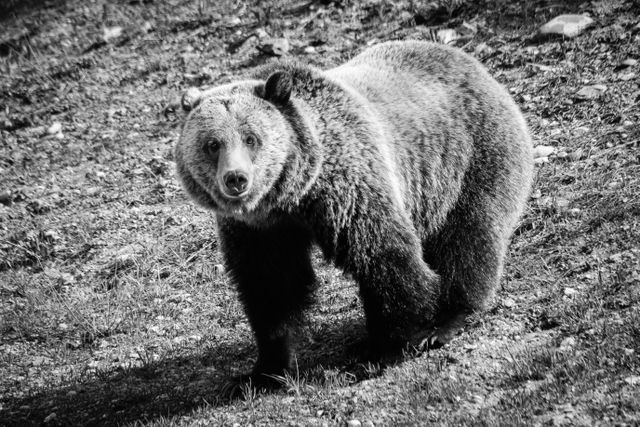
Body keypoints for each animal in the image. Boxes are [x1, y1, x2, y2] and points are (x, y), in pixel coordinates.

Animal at [174, 40, 536, 392]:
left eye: (251, 138)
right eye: (212, 144)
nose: (236, 178)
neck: (292, 195)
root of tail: (475, 66)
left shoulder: (349, 187)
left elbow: (382, 256)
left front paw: (387, 346)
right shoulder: (259, 230)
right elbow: (271, 286)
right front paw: (262, 371)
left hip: (468, 158)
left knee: (468, 236)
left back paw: (447, 320)